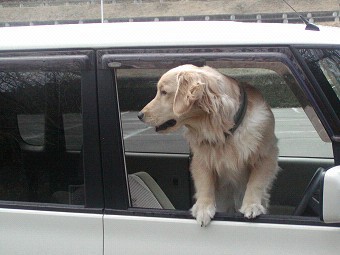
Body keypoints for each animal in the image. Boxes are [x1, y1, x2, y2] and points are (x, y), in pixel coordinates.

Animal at [138, 64, 278, 226]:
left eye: (164, 92)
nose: (139, 115)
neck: (223, 129)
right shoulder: (201, 158)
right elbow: (205, 182)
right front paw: (203, 208)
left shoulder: (267, 154)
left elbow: (256, 182)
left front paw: (251, 205)